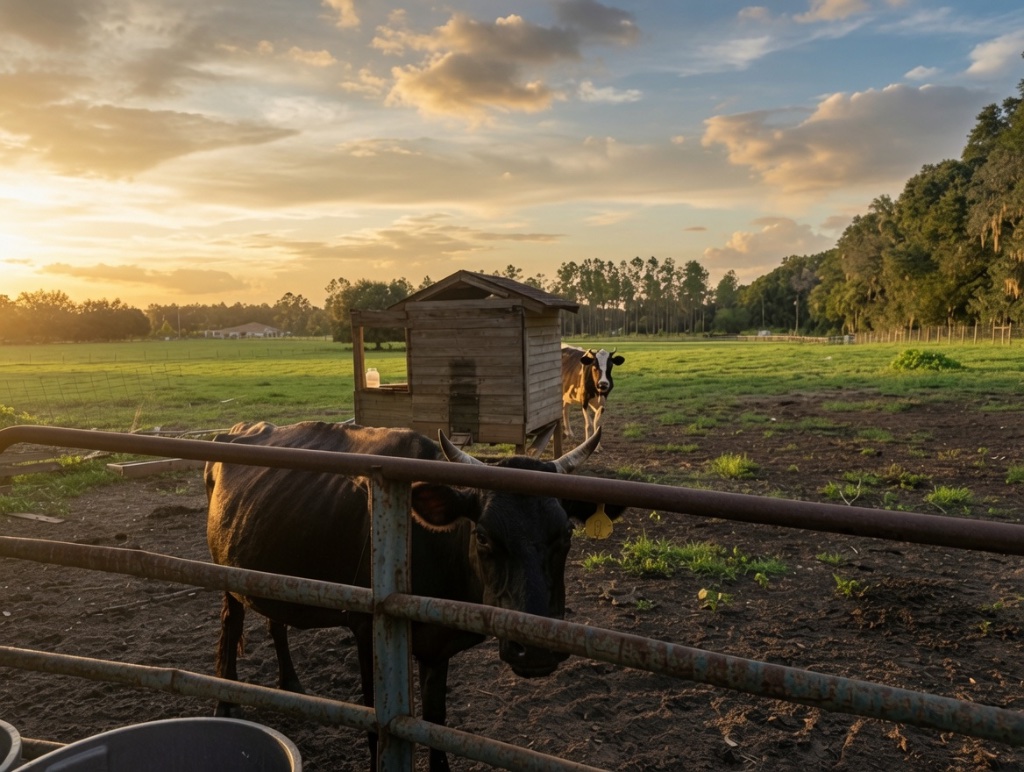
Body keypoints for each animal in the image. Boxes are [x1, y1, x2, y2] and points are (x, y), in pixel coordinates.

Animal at [205, 420, 625, 772]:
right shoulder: (368, 631)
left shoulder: (437, 645)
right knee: (230, 626)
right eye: (483, 536)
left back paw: (291, 683)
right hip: (226, 573)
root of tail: (238, 430)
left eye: (567, 534)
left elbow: (435, 719)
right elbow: (373, 723)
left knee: (275, 620)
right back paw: (225, 702)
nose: (536, 649)